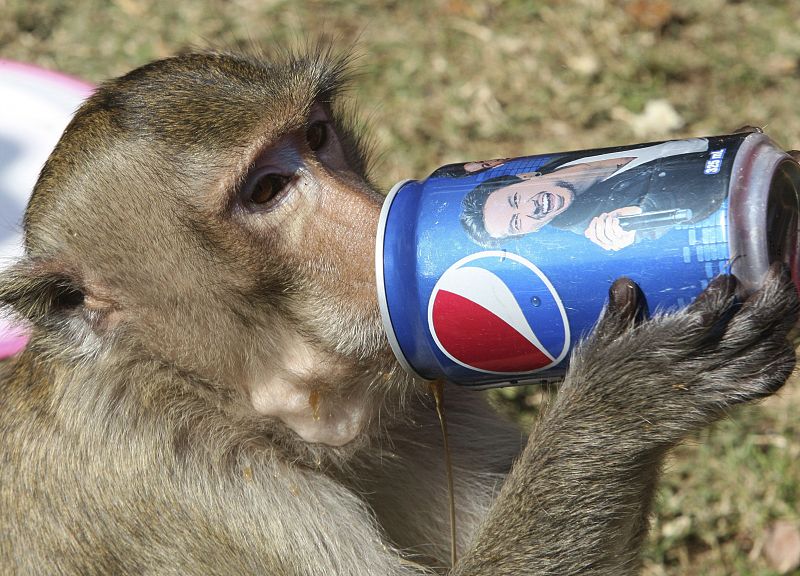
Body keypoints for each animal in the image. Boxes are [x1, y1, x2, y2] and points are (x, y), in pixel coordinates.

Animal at [0, 48, 797, 576]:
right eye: (265, 191)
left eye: (317, 137)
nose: (378, 218)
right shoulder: (201, 497)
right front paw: (627, 396)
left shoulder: (416, 395)